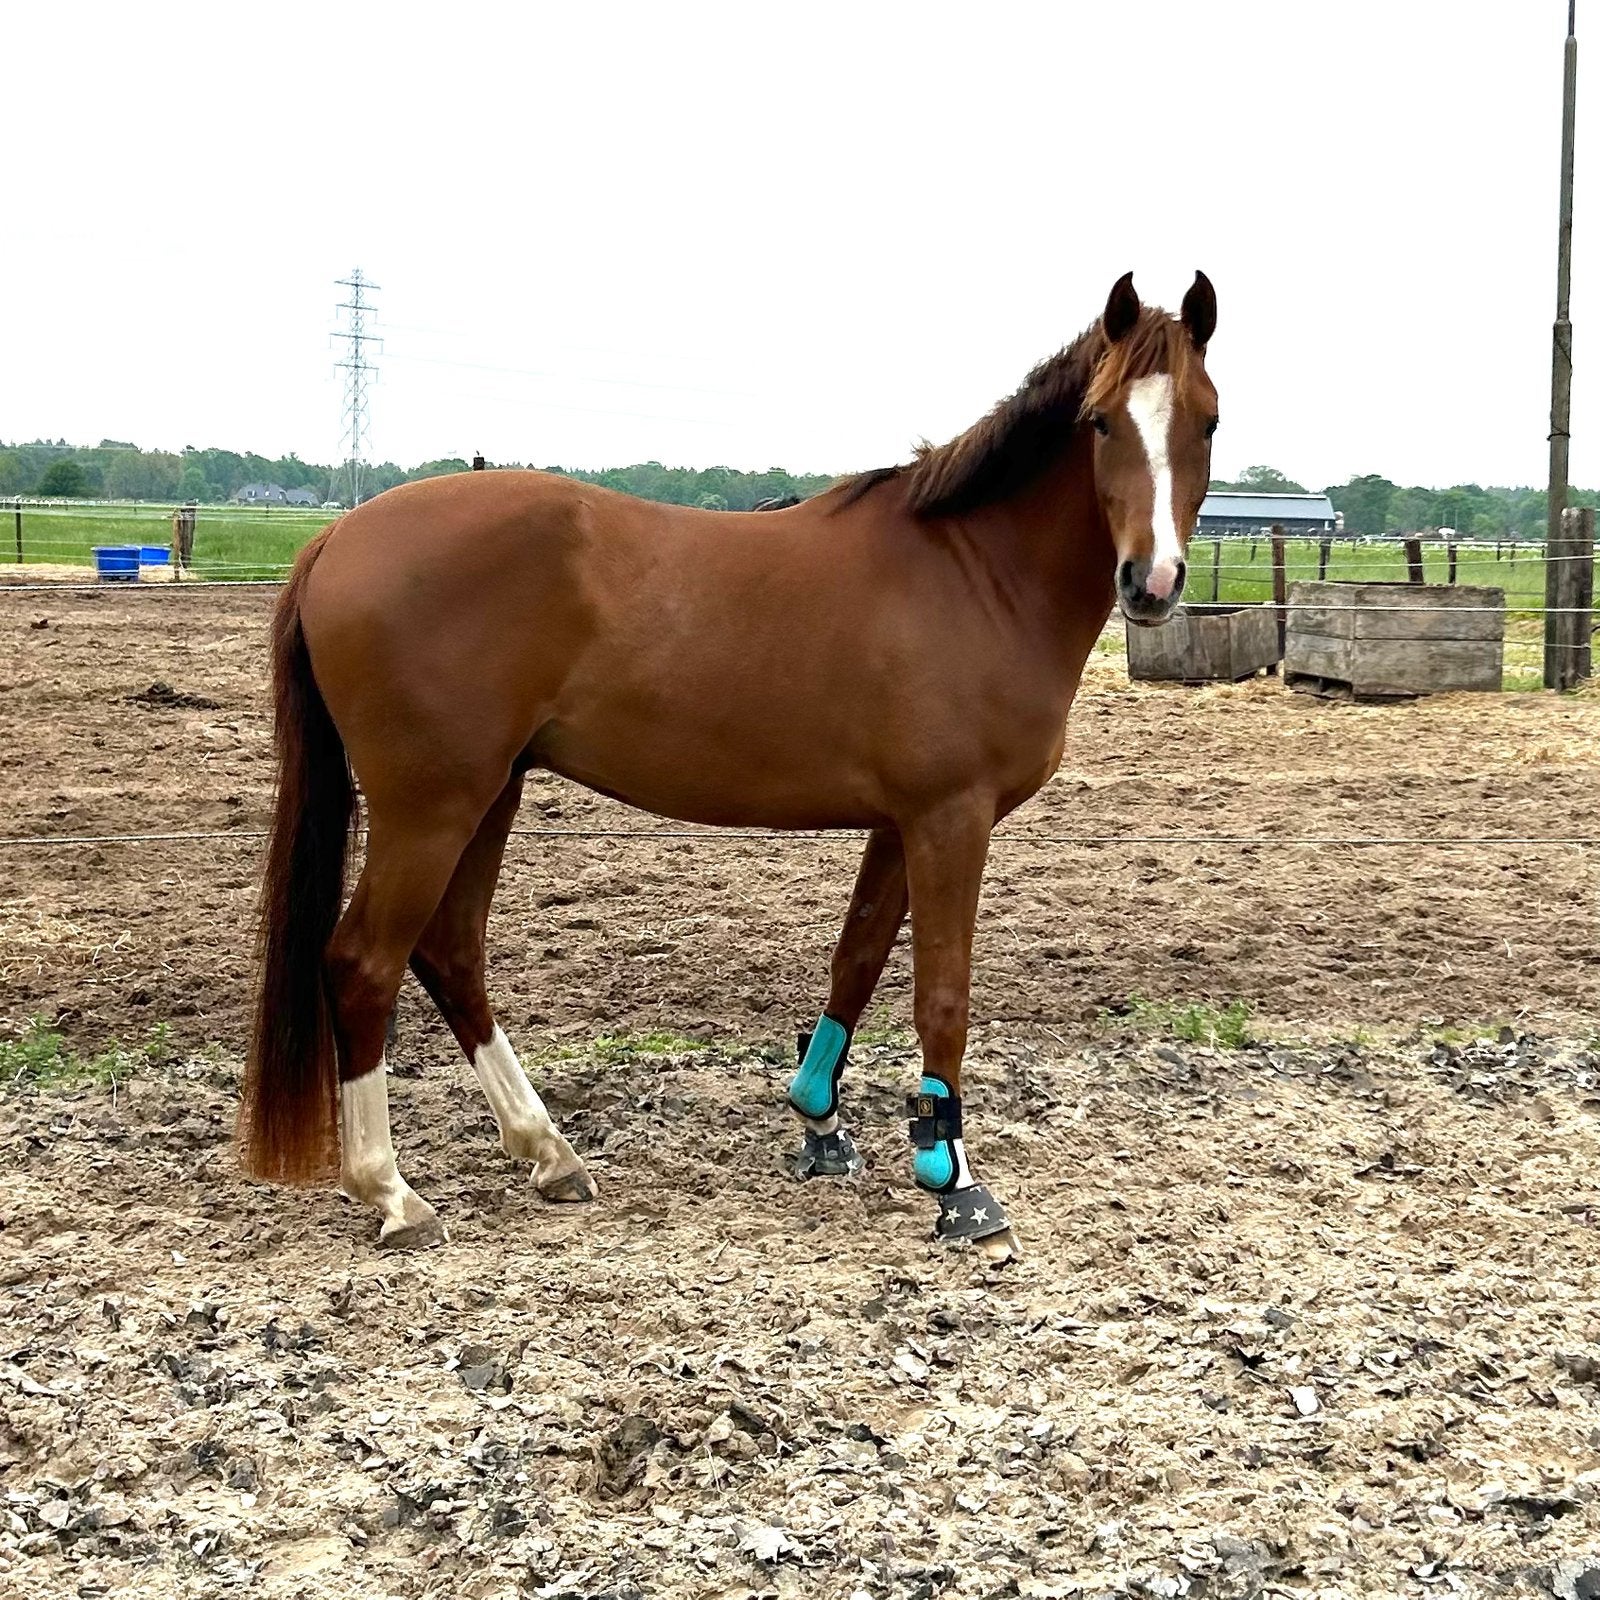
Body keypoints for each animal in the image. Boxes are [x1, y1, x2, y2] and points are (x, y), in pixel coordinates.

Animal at [238, 271, 1219, 1264]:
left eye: (1208, 420)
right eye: (1100, 421)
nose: (1152, 583)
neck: (975, 572)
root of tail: (337, 539)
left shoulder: (901, 820)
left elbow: (856, 960)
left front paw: (821, 1122)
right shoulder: (952, 816)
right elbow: (942, 996)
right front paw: (956, 1184)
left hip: (490, 793)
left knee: (449, 953)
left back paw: (547, 1151)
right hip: (432, 804)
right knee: (364, 963)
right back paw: (392, 1192)